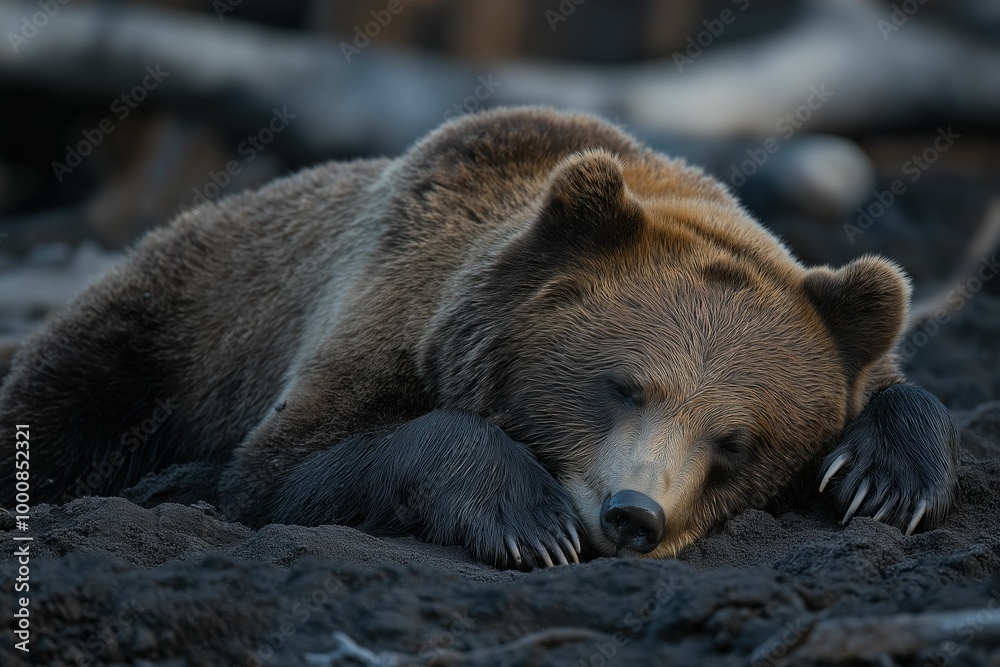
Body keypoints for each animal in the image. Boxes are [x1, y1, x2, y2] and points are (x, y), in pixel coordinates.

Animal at [0, 107, 959, 570]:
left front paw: (884, 476)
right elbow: (288, 468)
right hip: (169, 322)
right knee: (63, 400)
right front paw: (527, 517)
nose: (633, 514)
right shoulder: (377, 307)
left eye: (736, 441)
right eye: (621, 385)